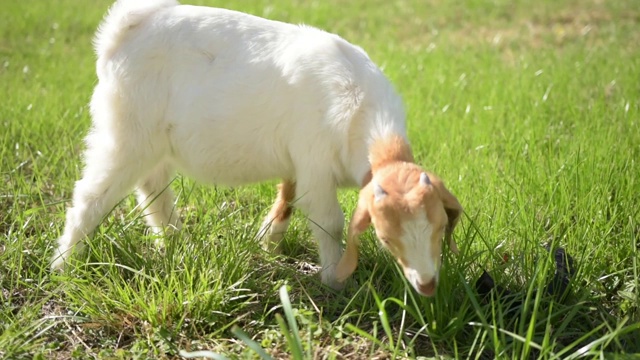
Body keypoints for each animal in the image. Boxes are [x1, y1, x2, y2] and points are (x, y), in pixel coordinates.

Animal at [52, 0, 462, 296]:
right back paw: (63, 267)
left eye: (440, 227)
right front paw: (336, 281)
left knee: (154, 189)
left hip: (152, 143)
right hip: (125, 136)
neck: (359, 106)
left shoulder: (299, 163)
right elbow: (329, 222)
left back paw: (177, 244)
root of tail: (124, 28)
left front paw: (267, 243)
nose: (427, 284)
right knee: (91, 197)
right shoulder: (315, 165)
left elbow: (287, 197)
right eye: (385, 237)